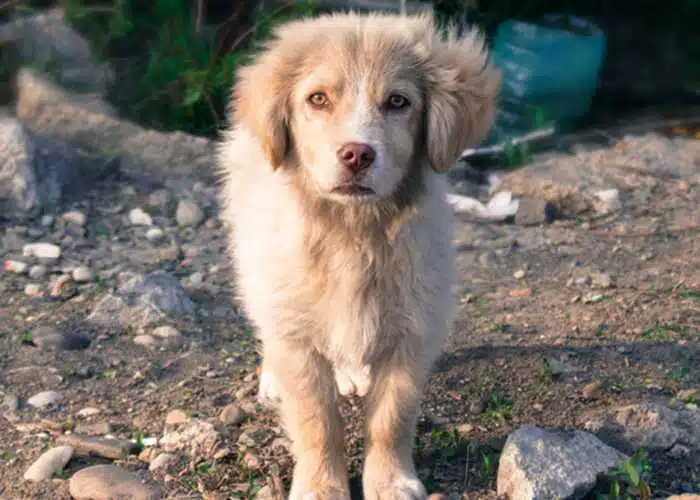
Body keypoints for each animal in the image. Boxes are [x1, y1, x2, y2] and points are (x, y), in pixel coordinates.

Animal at [219, 11, 498, 500]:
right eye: (318, 99)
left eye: (398, 102)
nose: (356, 154)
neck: (353, 232)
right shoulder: (297, 327)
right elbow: (317, 420)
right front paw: (319, 485)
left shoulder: (414, 325)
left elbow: (392, 417)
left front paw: (390, 481)